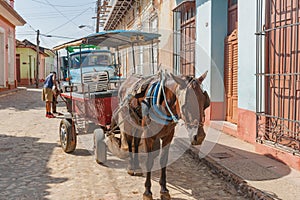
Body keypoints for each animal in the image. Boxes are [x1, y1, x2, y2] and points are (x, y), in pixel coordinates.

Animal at [113, 70, 210, 200]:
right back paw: (131, 167)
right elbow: (149, 161)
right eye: (185, 104)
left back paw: (137, 166)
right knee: (129, 142)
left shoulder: (168, 136)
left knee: (136, 141)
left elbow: (163, 160)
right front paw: (147, 191)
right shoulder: (149, 136)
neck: (161, 103)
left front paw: (164, 190)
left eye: (205, 102)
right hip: (128, 121)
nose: (199, 137)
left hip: (138, 124)